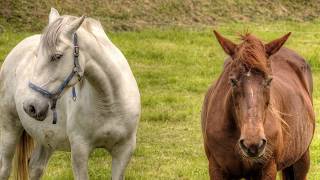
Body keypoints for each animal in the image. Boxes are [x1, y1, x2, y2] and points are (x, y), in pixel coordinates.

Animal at [0, 7, 140, 179]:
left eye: (57, 56)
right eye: (36, 55)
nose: (30, 107)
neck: (110, 101)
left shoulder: (124, 151)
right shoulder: (80, 151)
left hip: (46, 138)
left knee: (35, 167)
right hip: (9, 129)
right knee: (5, 168)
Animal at [202, 30, 316, 179]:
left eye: (269, 80)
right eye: (232, 80)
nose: (253, 144)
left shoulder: (268, 169)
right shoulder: (216, 169)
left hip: (301, 159)